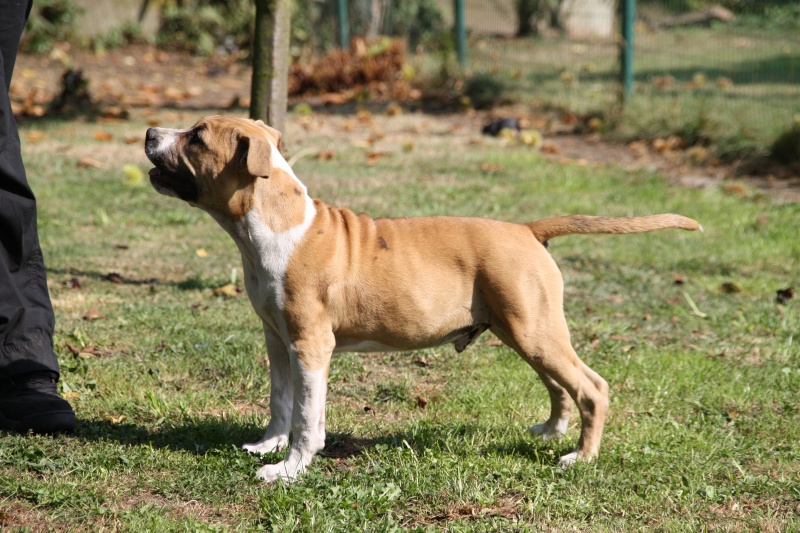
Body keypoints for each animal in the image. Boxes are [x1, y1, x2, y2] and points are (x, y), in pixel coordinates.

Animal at [144, 115, 701, 482]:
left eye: (197, 137)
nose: (149, 133)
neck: (272, 223)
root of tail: (527, 229)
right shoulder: (278, 339)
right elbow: (281, 401)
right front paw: (267, 445)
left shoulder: (310, 346)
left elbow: (307, 416)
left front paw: (289, 467)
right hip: (523, 329)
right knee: (560, 384)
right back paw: (550, 431)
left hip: (533, 330)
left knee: (592, 387)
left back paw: (580, 458)